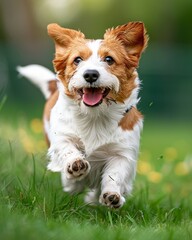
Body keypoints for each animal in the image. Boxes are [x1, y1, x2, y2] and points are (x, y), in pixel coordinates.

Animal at [17, 22, 148, 208]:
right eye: (77, 60)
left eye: (109, 59)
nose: (90, 74)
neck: (94, 116)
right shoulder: (62, 136)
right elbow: (68, 150)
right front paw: (75, 165)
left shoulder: (122, 153)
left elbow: (115, 175)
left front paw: (112, 194)